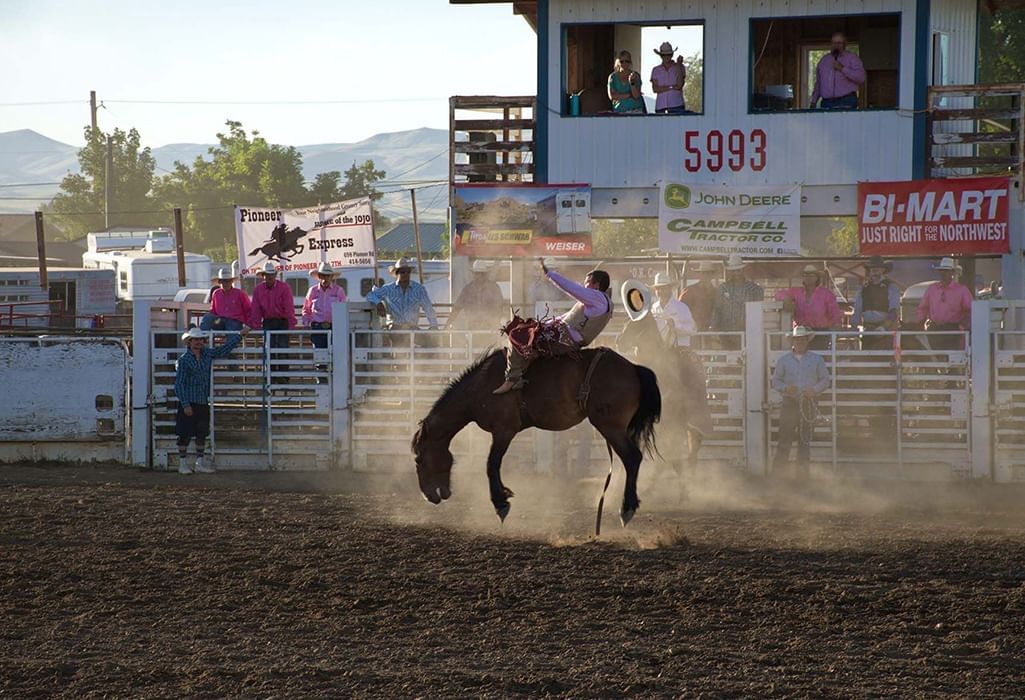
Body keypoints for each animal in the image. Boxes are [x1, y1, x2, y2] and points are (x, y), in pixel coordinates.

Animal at [412, 348, 660, 524]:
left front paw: (500, 503)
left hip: (609, 426)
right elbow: (494, 465)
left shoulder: (503, 430)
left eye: (419, 459)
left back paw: (626, 508)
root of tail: (633, 367)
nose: (428, 496)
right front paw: (505, 495)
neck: (480, 388)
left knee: (632, 458)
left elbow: (491, 464)